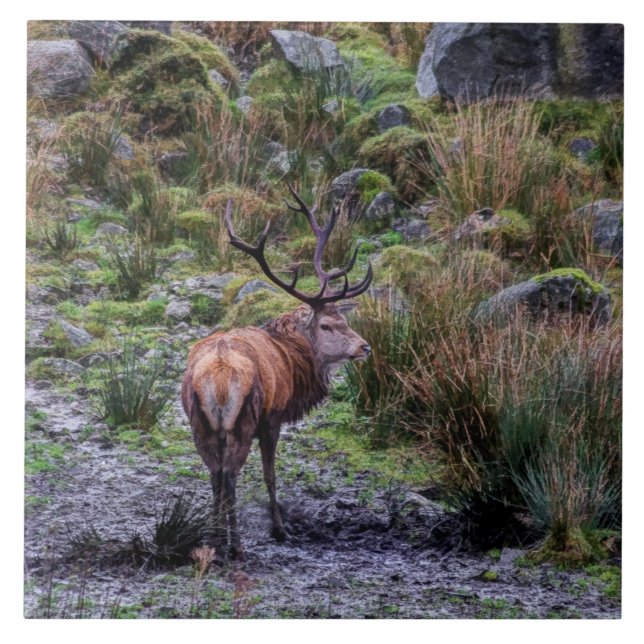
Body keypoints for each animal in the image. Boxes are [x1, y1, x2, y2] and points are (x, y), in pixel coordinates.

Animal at [181, 184, 373, 559]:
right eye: (327, 325)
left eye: (345, 320)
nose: (365, 347)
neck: (293, 360)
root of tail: (218, 376)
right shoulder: (273, 417)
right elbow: (270, 475)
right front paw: (280, 529)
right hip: (242, 419)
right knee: (229, 475)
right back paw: (236, 545)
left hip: (201, 422)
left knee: (215, 475)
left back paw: (215, 539)